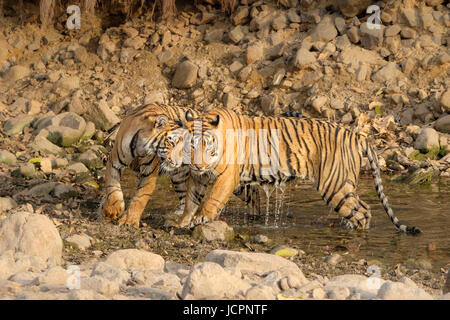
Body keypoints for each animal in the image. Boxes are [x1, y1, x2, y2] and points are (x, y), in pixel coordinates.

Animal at [100, 103, 258, 228]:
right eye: (172, 142)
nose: (178, 162)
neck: (140, 145)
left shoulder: (149, 172)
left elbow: (141, 196)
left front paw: (130, 221)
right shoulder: (115, 161)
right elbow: (112, 186)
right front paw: (112, 209)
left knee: (251, 194)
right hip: (179, 177)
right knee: (184, 199)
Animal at [160, 108, 420, 235]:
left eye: (207, 145)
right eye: (191, 145)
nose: (198, 165)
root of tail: (357, 135)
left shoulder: (225, 177)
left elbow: (212, 199)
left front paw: (201, 219)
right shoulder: (198, 177)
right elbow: (191, 201)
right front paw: (183, 222)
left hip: (334, 185)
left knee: (364, 212)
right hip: (345, 185)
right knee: (359, 209)